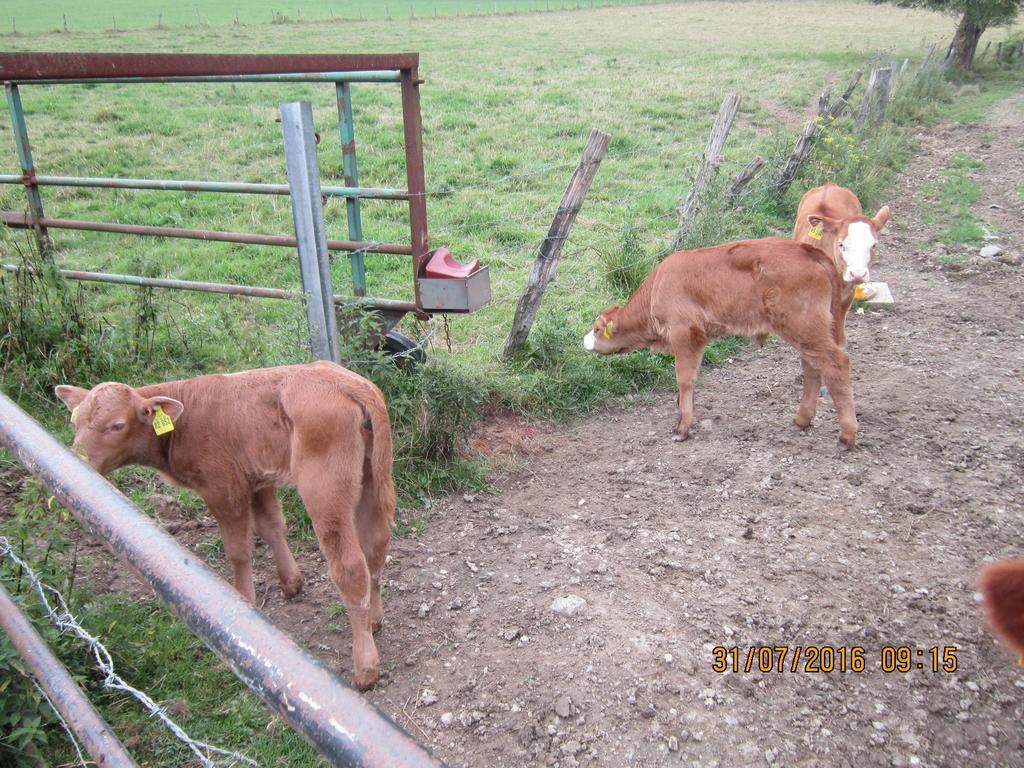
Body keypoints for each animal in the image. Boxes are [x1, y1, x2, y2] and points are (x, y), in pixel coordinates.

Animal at [52, 360, 395, 692]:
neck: (185, 418)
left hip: (325, 489)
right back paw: (374, 620)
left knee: (350, 567)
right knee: (375, 545)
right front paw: (291, 582)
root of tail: (345, 380)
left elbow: (238, 550)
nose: (78, 457)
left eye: (117, 425)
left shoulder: (223, 490)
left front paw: (244, 602)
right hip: (370, 478)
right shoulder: (258, 481)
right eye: (75, 422)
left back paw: (365, 667)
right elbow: (271, 526)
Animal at [585, 237, 856, 448]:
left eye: (597, 328)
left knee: (836, 363)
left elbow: (684, 378)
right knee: (813, 366)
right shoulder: (698, 337)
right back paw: (802, 419)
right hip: (807, 331)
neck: (657, 287)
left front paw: (682, 428)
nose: (585, 340)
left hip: (804, 326)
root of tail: (804, 248)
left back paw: (847, 435)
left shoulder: (685, 333)